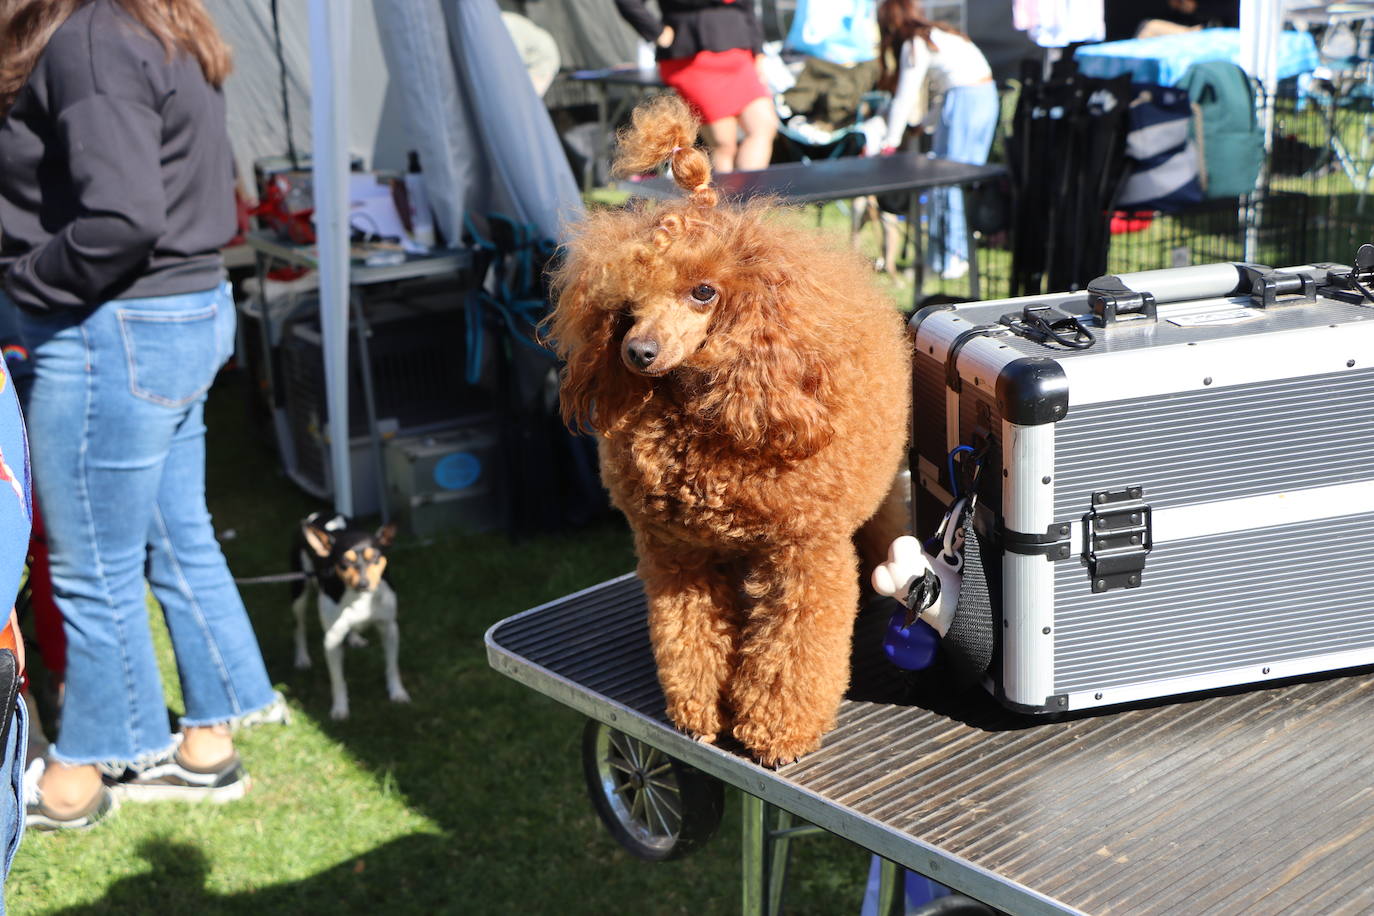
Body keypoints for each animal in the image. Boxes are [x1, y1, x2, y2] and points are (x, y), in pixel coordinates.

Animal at [292, 513, 409, 719]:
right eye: (345, 563)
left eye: (375, 558)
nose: (363, 583)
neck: (360, 599)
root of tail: (316, 515)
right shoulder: (331, 639)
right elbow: (337, 679)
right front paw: (340, 708)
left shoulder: (389, 627)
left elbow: (392, 666)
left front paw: (397, 692)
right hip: (299, 591)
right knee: (299, 626)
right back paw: (302, 657)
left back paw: (354, 638)